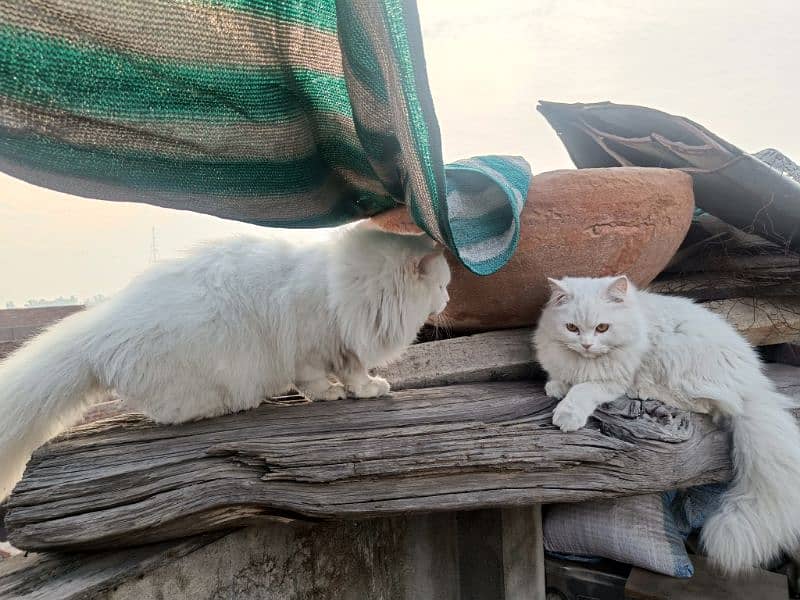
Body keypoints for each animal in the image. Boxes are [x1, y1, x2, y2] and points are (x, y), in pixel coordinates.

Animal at [0, 223, 450, 500]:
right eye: (443, 286)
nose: (447, 301)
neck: (346, 286)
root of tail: (99, 329)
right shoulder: (315, 344)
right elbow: (333, 376)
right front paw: (353, 391)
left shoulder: (337, 344)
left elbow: (343, 370)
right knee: (169, 412)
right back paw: (229, 405)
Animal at [532, 276, 800, 572]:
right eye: (572, 328)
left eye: (602, 328)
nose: (587, 345)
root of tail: (753, 385)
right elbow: (561, 379)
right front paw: (556, 387)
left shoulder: (613, 381)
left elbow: (583, 390)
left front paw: (567, 414)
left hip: (677, 357)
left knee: (703, 403)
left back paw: (646, 391)